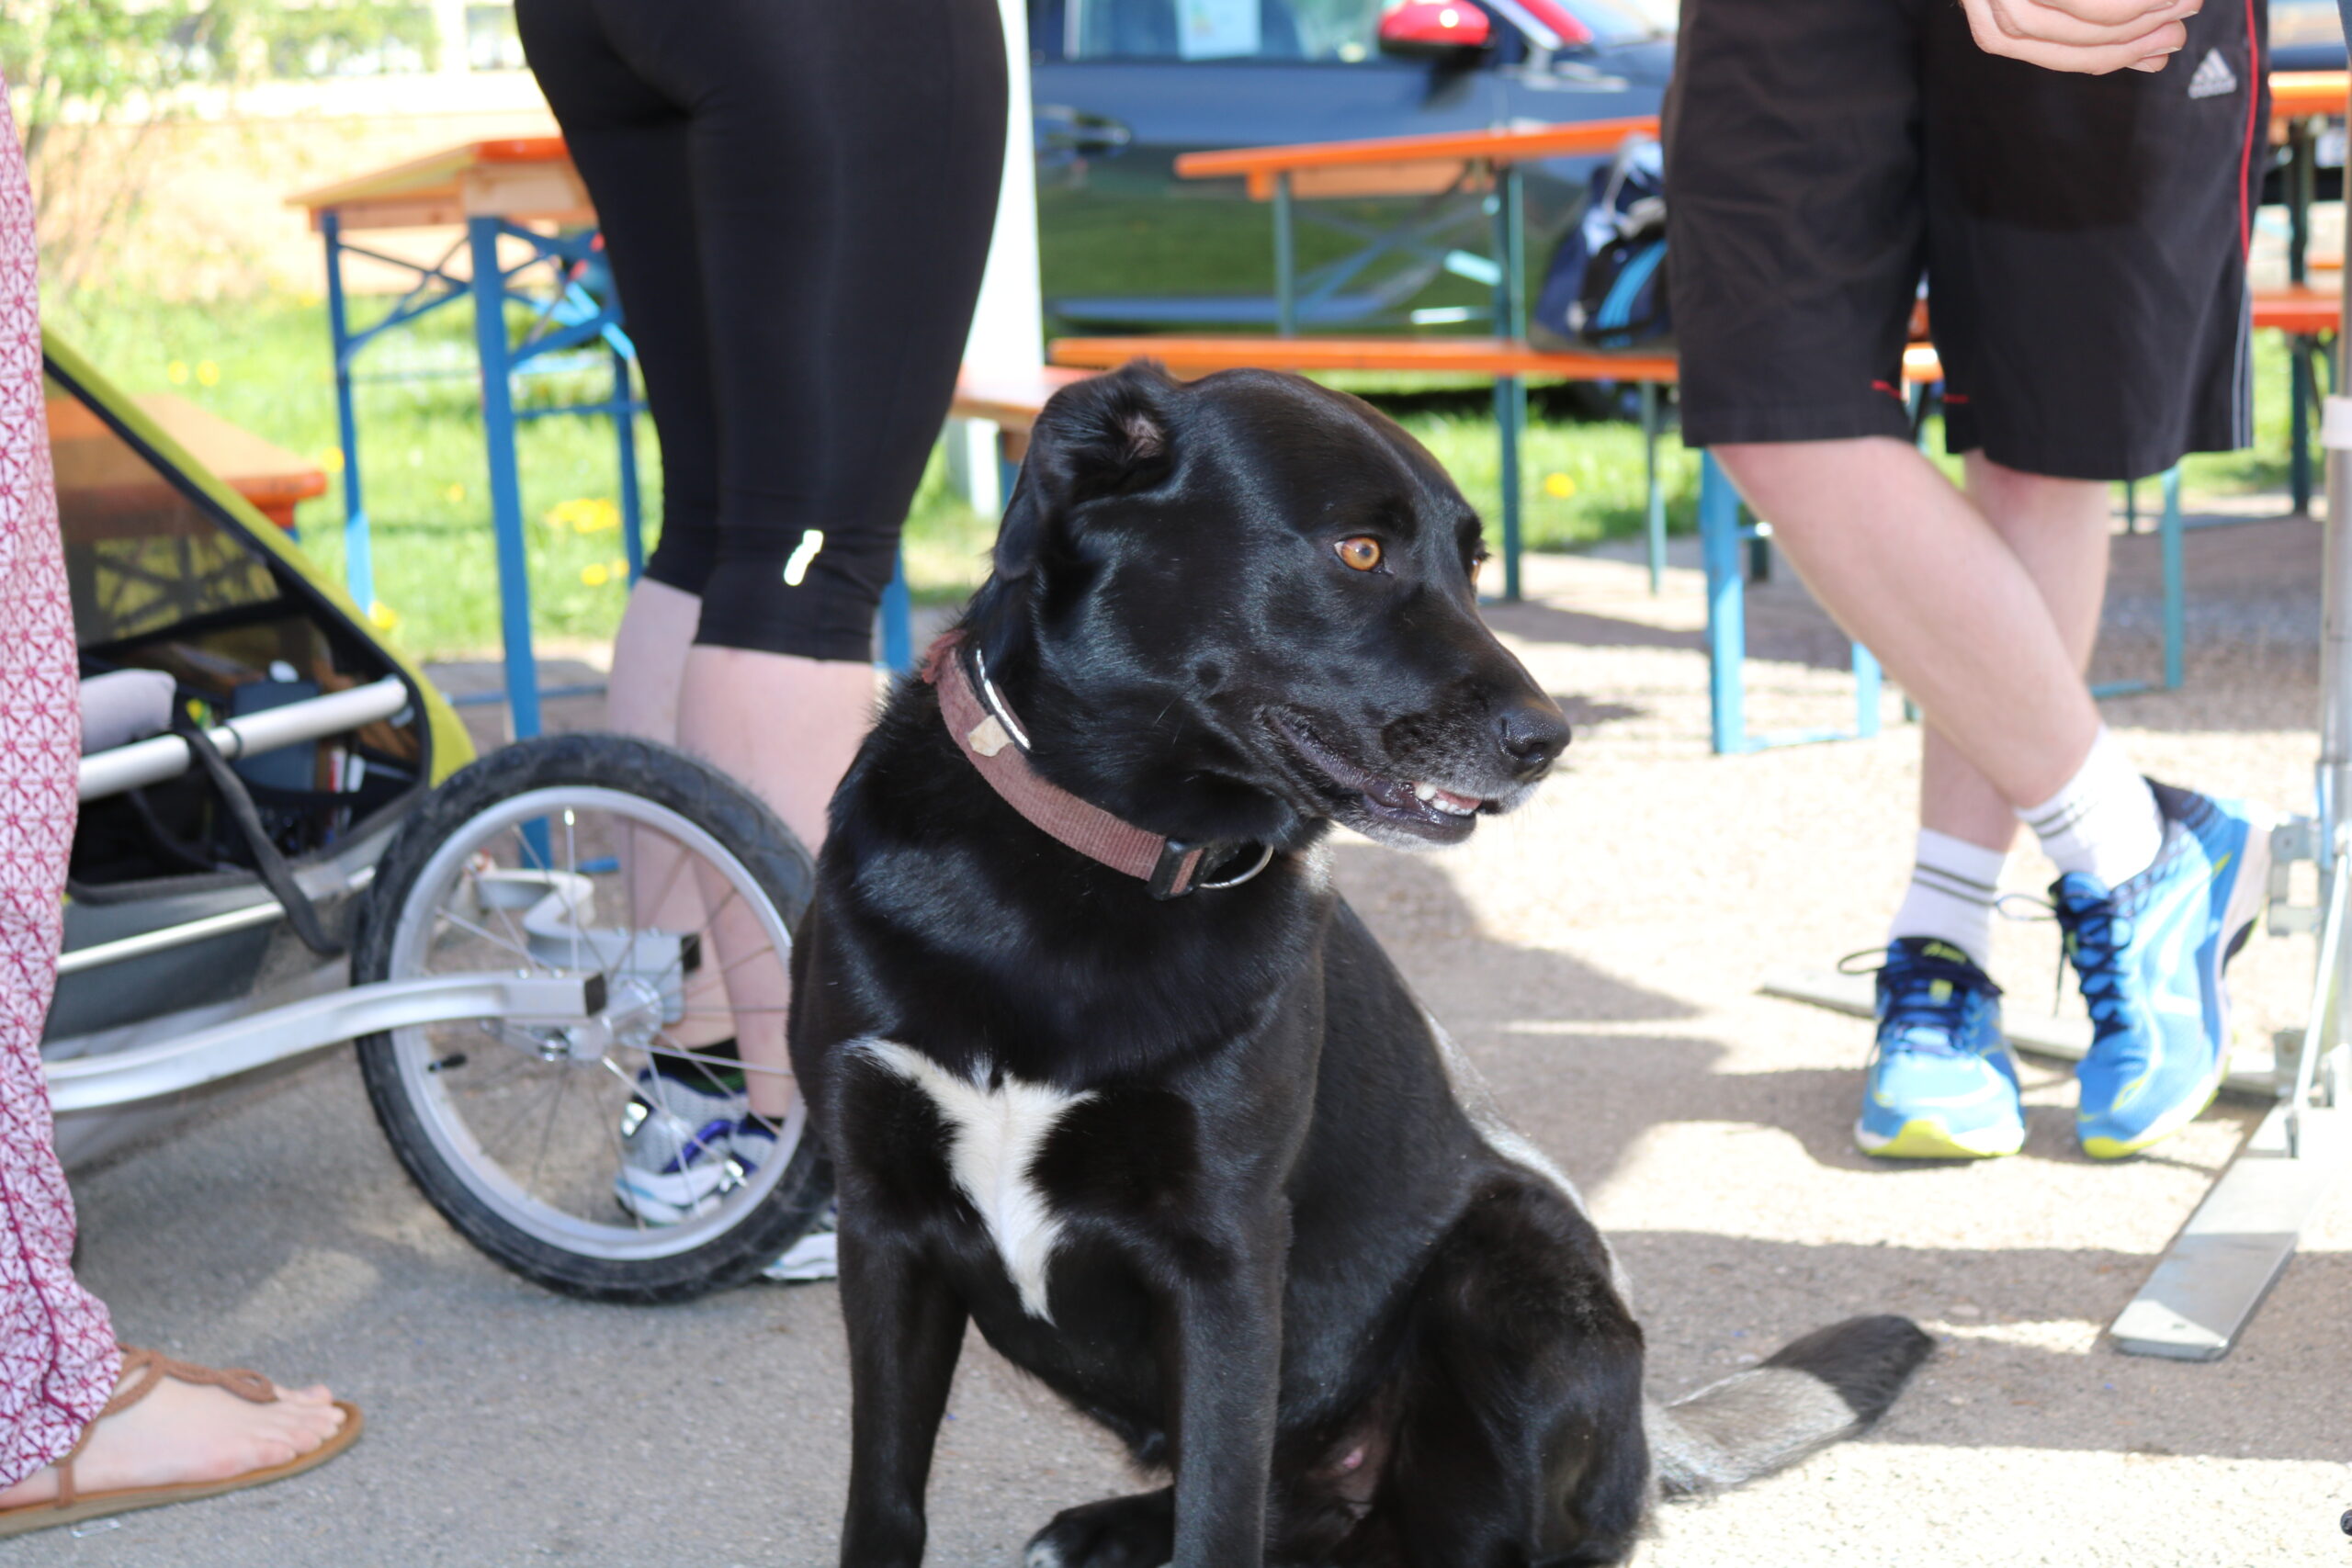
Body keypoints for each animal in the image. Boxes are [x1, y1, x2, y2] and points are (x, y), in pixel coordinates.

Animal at [790, 364, 1928, 1568]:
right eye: (1361, 552)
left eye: (1473, 564)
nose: (1549, 740)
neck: (1086, 868)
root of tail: (1650, 1430)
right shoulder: (882, 1221)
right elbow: (886, 1495)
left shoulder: (1225, 1251)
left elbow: (1217, 1517)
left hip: (1516, 1268)